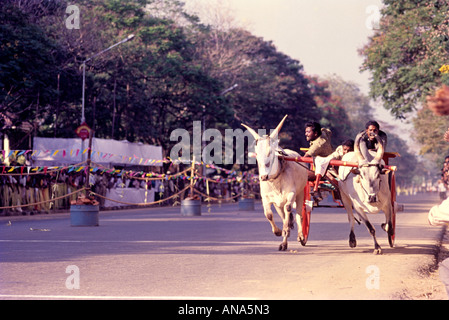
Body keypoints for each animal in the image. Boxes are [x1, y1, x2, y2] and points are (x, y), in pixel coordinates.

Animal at [242, 114, 308, 250]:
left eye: (271, 153)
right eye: (257, 155)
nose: (263, 177)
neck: (275, 181)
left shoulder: (291, 194)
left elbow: (289, 210)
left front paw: (286, 234)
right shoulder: (266, 198)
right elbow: (269, 215)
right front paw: (278, 232)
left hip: (300, 194)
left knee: (299, 215)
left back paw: (301, 237)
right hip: (278, 205)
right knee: (284, 217)